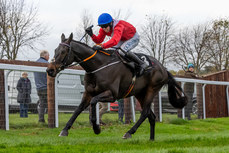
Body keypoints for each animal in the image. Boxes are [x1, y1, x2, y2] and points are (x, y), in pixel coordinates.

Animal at [46, 32, 188, 140]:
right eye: (55, 50)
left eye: (63, 51)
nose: (50, 70)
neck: (98, 66)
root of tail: (164, 69)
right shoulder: (88, 93)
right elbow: (78, 109)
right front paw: (65, 130)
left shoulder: (112, 95)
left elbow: (93, 102)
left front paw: (96, 128)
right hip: (140, 94)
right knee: (151, 116)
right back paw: (151, 140)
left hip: (151, 90)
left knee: (145, 113)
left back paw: (129, 133)